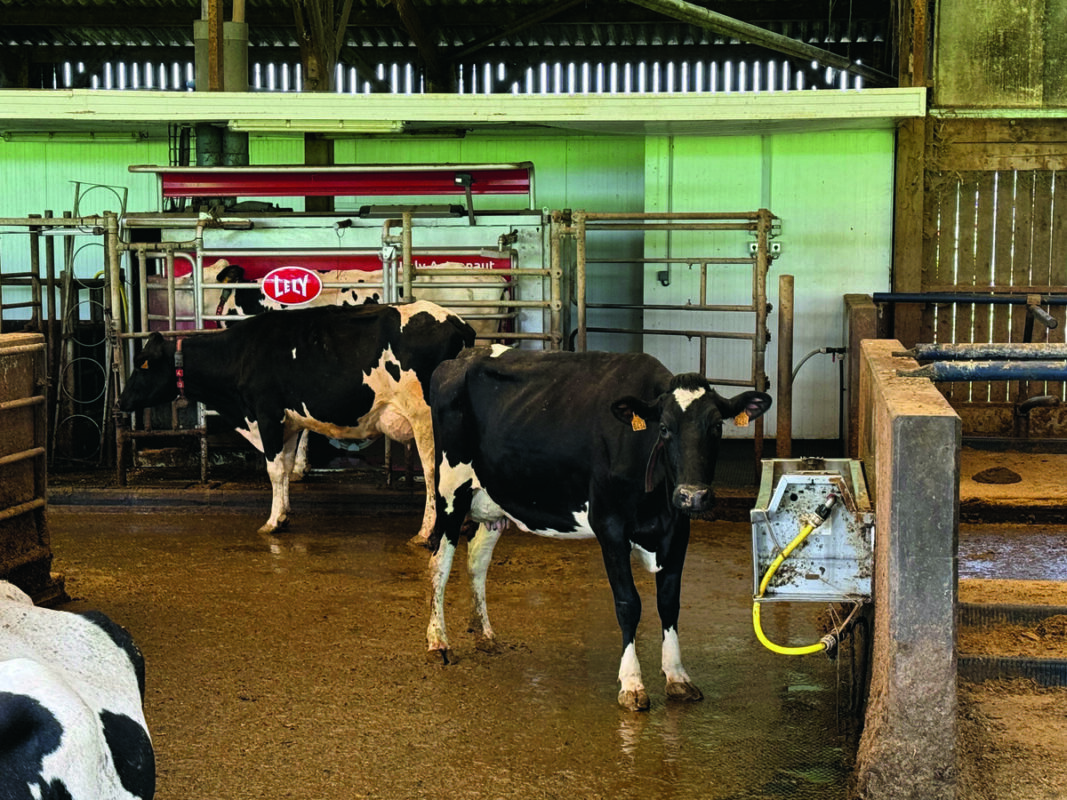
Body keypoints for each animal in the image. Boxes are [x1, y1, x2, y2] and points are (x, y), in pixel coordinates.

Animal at [117, 298, 480, 539]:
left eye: (142, 365)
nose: (120, 401)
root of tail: (456, 321)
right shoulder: (290, 423)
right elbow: (288, 467)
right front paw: (284, 515)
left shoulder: (267, 415)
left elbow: (275, 470)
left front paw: (272, 522)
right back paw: (460, 522)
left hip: (424, 419)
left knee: (434, 474)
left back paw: (425, 533)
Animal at [426, 347, 776, 712]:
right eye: (665, 429)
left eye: (717, 428)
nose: (692, 495)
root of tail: (464, 356)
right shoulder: (610, 528)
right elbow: (628, 604)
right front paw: (632, 683)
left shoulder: (677, 530)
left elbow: (669, 603)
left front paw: (677, 676)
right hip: (451, 488)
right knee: (440, 561)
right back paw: (438, 641)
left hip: (494, 497)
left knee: (477, 561)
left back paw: (484, 634)